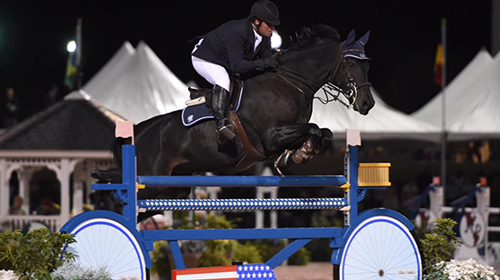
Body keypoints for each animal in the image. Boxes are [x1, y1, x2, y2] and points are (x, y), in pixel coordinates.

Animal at [94, 23, 376, 218]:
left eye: (367, 65)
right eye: (351, 64)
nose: (367, 104)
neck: (289, 82)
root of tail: (139, 131)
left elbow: (323, 132)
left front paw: (299, 153)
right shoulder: (271, 136)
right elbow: (314, 129)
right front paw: (300, 153)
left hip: (171, 188)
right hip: (151, 181)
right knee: (121, 203)